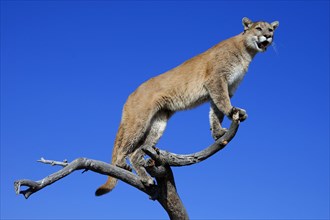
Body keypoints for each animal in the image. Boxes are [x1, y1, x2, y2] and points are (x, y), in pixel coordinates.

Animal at [94, 17, 278, 196]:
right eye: (259, 28)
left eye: (271, 29)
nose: (268, 37)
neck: (247, 51)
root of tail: (130, 95)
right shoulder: (217, 80)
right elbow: (222, 102)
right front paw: (233, 111)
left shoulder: (225, 87)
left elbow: (215, 112)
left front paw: (218, 133)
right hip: (139, 121)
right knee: (125, 147)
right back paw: (122, 164)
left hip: (157, 125)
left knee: (137, 152)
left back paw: (145, 178)